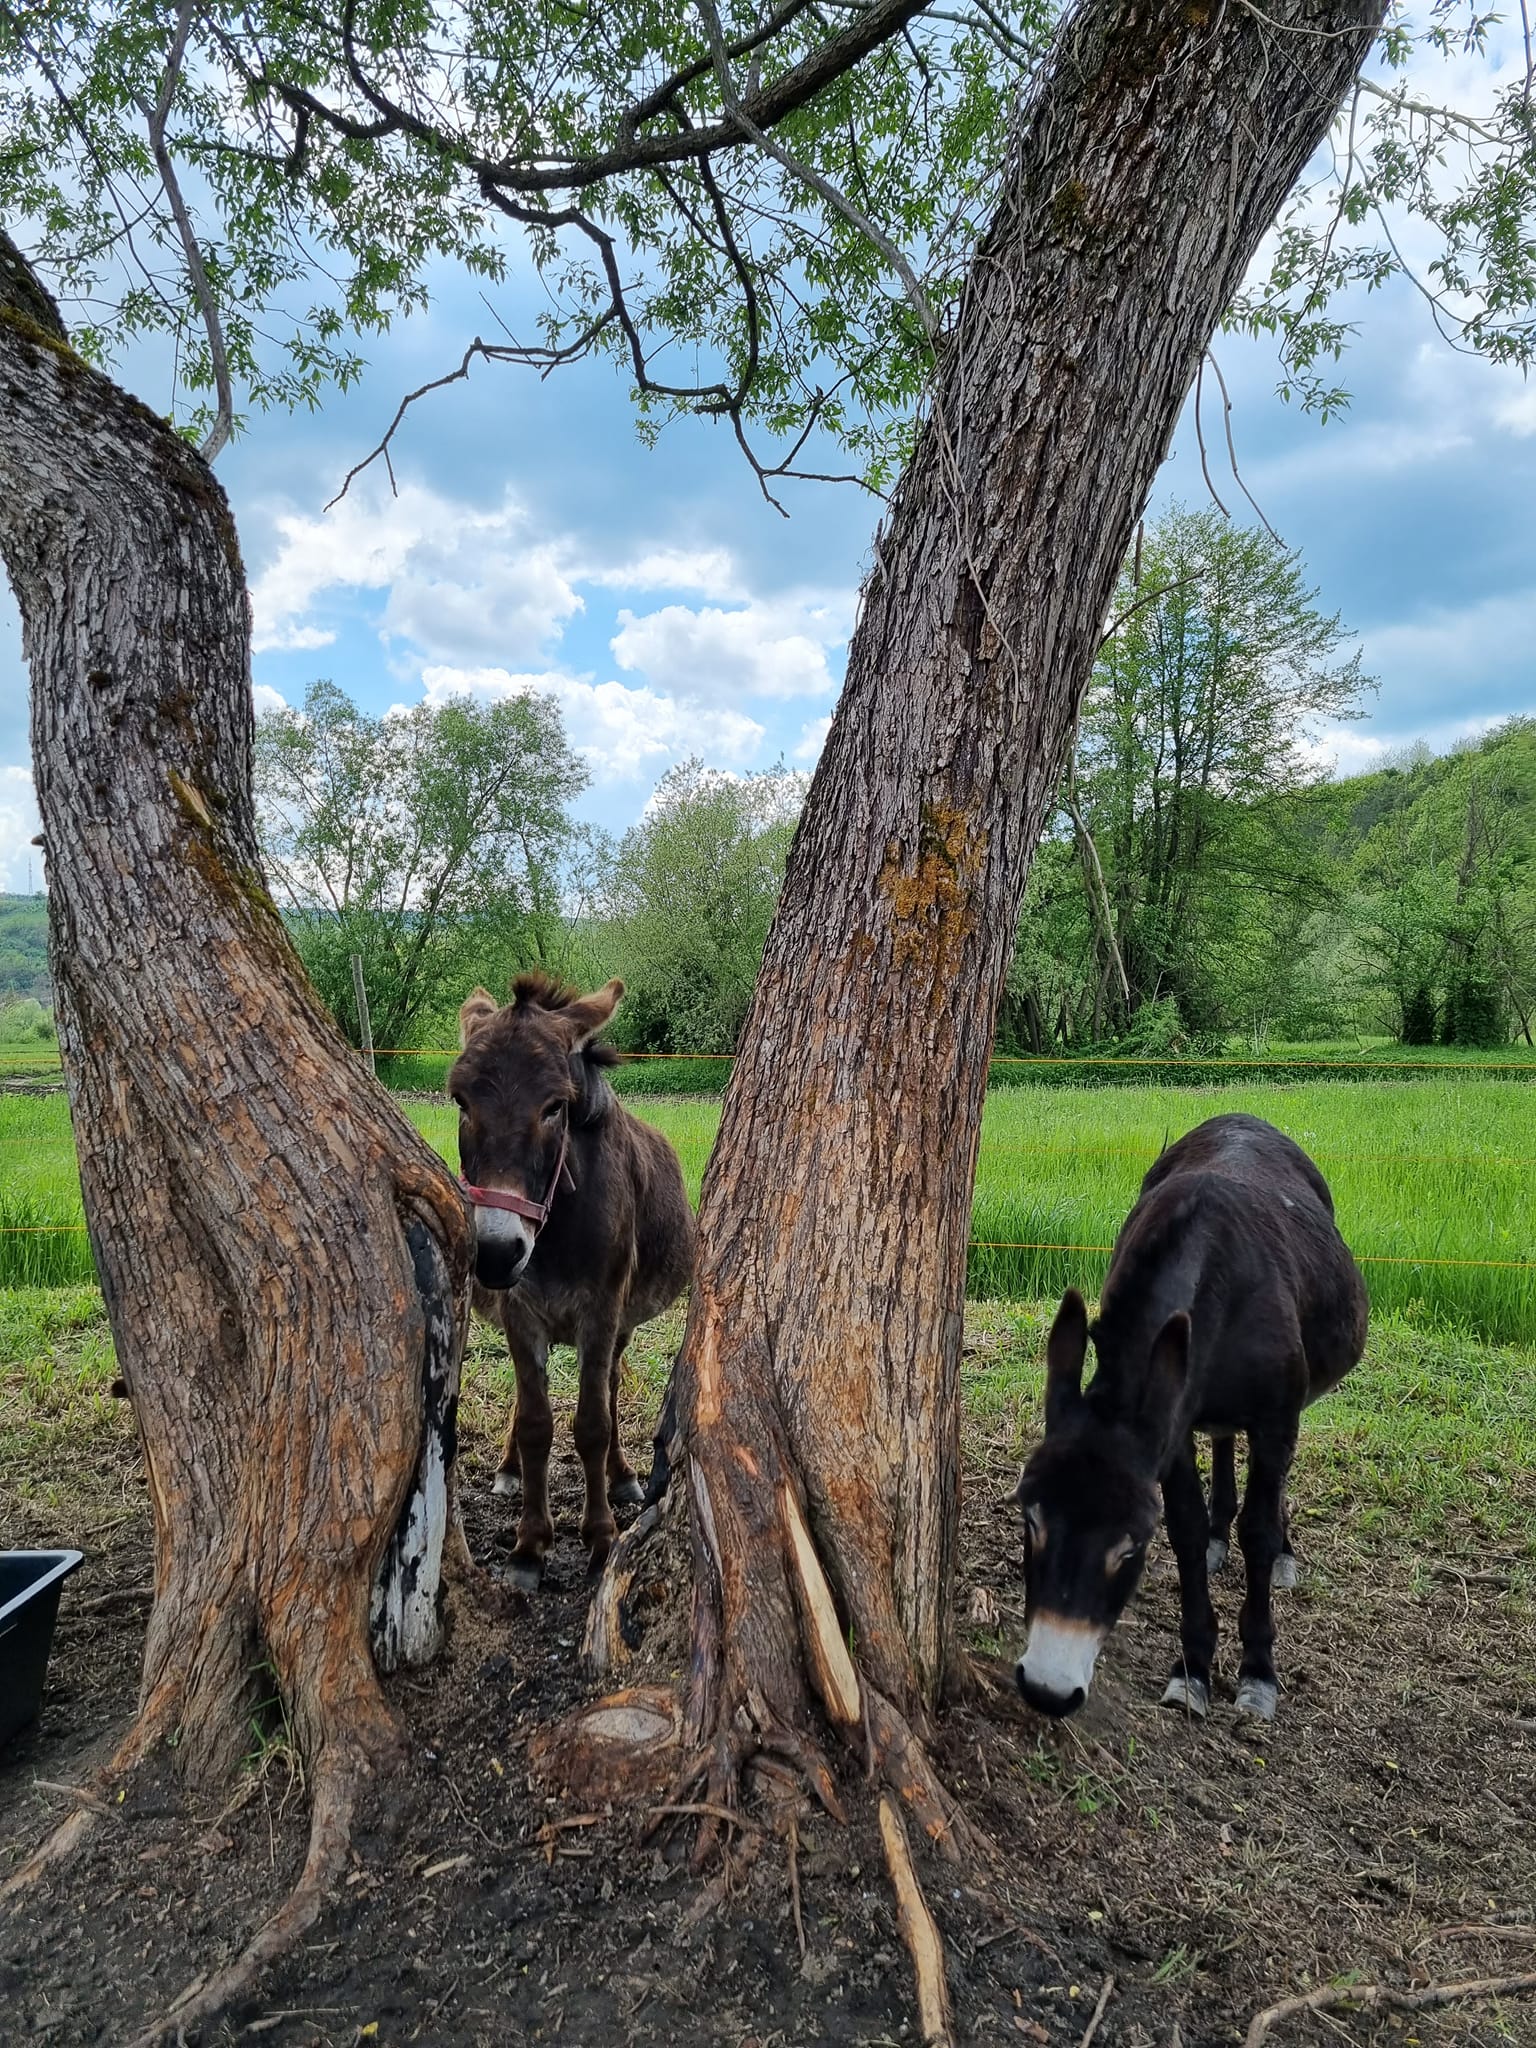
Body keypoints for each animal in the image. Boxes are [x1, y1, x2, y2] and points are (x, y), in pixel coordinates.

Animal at [450, 975, 696, 1589]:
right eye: (460, 1102)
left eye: (555, 1107)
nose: (494, 1254)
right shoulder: (519, 1314)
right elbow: (537, 1423)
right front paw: (529, 1547)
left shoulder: (602, 1314)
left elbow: (592, 1424)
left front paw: (601, 1539)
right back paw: (509, 1468)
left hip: (622, 1325)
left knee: (609, 1386)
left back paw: (622, 1475)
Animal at [1011, 1112, 1368, 1723]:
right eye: (1030, 1520)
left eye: (1131, 1547)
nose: (1046, 1690)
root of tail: (1244, 1117)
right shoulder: (1170, 1429)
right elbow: (1186, 1529)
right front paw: (1193, 1667)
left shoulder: (1274, 1418)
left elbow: (1258, 1530)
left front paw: (1257, 1671)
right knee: (1223, 1445)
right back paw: (1221, 1534)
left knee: (1268, 1489)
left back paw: (1282, 1553)